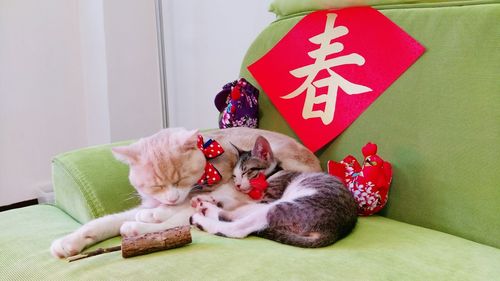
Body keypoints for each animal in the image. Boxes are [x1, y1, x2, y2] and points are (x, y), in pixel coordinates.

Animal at [50, 126, 320, 256]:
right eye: (156, 185)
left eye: (180, 179)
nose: (170, 198)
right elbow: (103, 222)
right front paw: (69, 242)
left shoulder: (223, 188)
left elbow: (182, 211)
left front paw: (152, 217)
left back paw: (140, 226)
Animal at [189, 136, 358, 247]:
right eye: (234, 176)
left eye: (246, 172)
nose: (237, 185)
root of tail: (334, 231)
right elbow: (238, 202)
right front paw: (208, 198)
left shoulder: (269, 199)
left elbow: (242, 204)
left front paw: (211, 201)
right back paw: (205, 207)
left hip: (285, 206)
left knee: (239, 227)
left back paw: (201, 218)